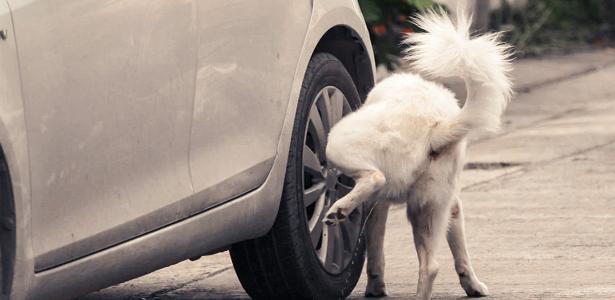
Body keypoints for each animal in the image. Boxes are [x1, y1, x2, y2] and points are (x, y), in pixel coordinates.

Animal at [324, 8, 512, 298]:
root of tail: (437, 126)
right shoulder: (449, 208)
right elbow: (459, 252)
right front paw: (473, 284)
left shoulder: (377, 205)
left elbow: (374, 250)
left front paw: (375, 287)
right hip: (429, 208)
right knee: (431, 265)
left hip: (339, 143)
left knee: (374, 178)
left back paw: (339, 209)